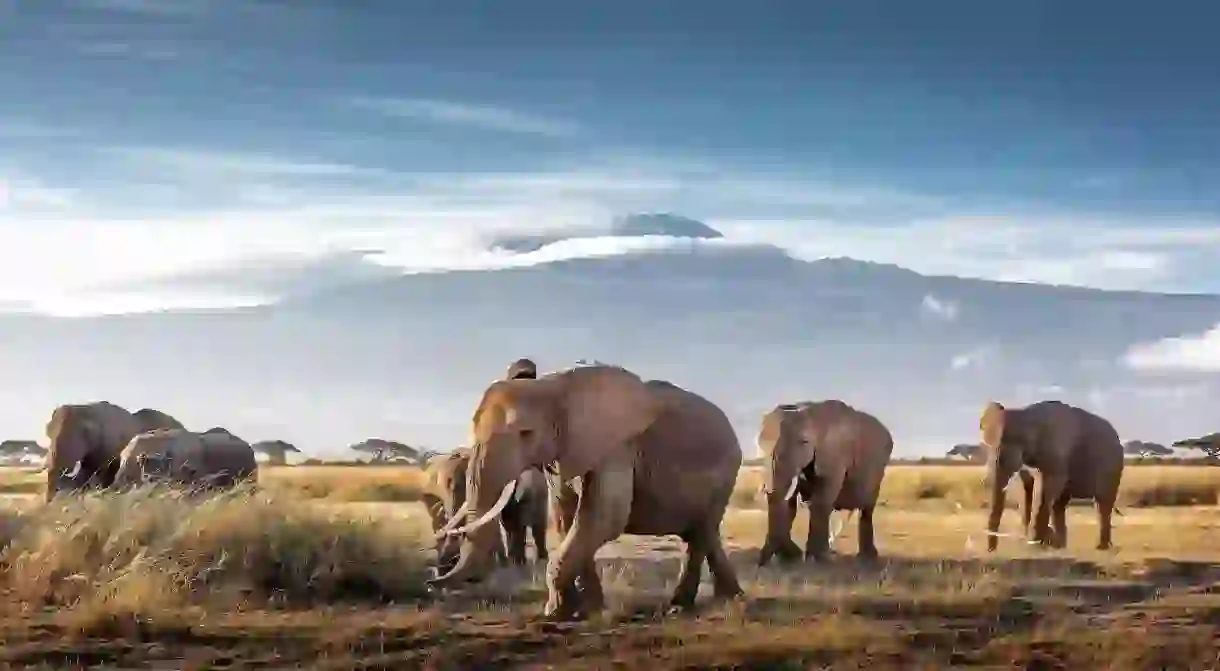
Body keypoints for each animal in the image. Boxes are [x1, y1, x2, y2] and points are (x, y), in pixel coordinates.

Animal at [429, 366, 741, 624]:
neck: (553, 386)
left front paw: (554, 613)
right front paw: (584, 610)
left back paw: (683, 607)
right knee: (702, 532)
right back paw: (727, 598)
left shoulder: (616, 447)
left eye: (526, 433)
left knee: (701, 532)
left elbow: (604, 517)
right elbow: (567, 517)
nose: (433, 578)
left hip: (727, 471)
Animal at [980, 400, 1122, 551]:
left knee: (1103, 503)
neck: (1025, 413)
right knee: (1060, 504)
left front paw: (1035, 544)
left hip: (1112, 466)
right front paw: (1033, 543)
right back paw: (1060, 546)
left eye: (1011, 441)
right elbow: (1025, 487)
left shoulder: (1055, 453)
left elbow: (1047, 486)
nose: (991, 551)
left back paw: (1101, 547)